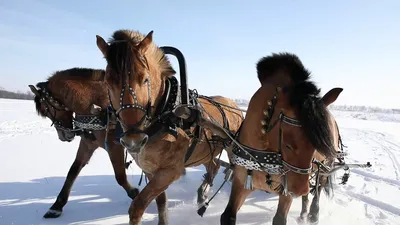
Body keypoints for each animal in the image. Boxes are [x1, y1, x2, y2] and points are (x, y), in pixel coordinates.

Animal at [28, 68, 141, 218]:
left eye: (46, 110)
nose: (63, 136)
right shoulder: (88, 144)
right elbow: (73, 170)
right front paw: (57, 205)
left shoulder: (114, 146)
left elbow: (120, 176)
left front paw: (134, 193)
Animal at [95, 30, 244, 225]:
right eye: (107, 82)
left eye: (145, 79)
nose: (133, 141)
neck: (166, 112)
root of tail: (233, 105)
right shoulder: (150, 170)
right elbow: (161, 201)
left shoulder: (171, 171)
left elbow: (138, 206)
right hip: (206, 151)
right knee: (213, 166)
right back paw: (202, 195)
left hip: (233, 149)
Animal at [219, 51, 344, 224]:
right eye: (288, 145)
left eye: (316, 147)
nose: (298, 190)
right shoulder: (241, 181)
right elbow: (228, 215)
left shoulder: (287, 190)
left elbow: (280, 218)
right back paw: (303, 213)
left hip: (325, 166)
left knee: (318, 187)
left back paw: (313, 213)